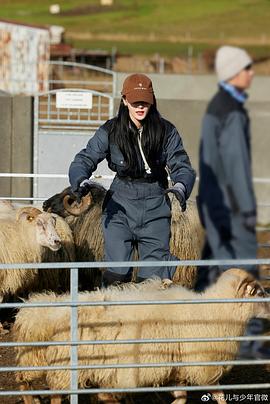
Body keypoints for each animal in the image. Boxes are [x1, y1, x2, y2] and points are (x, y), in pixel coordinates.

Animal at [13, 268, 270, 404]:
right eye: (258, 292)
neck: (215, 309)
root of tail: (37, 312)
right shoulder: (202, 361)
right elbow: (218, 393)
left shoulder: (178, 364)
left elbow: (181, 396)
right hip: (66, 365)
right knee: (55, 392)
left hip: (41, 359)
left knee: (25, 380)